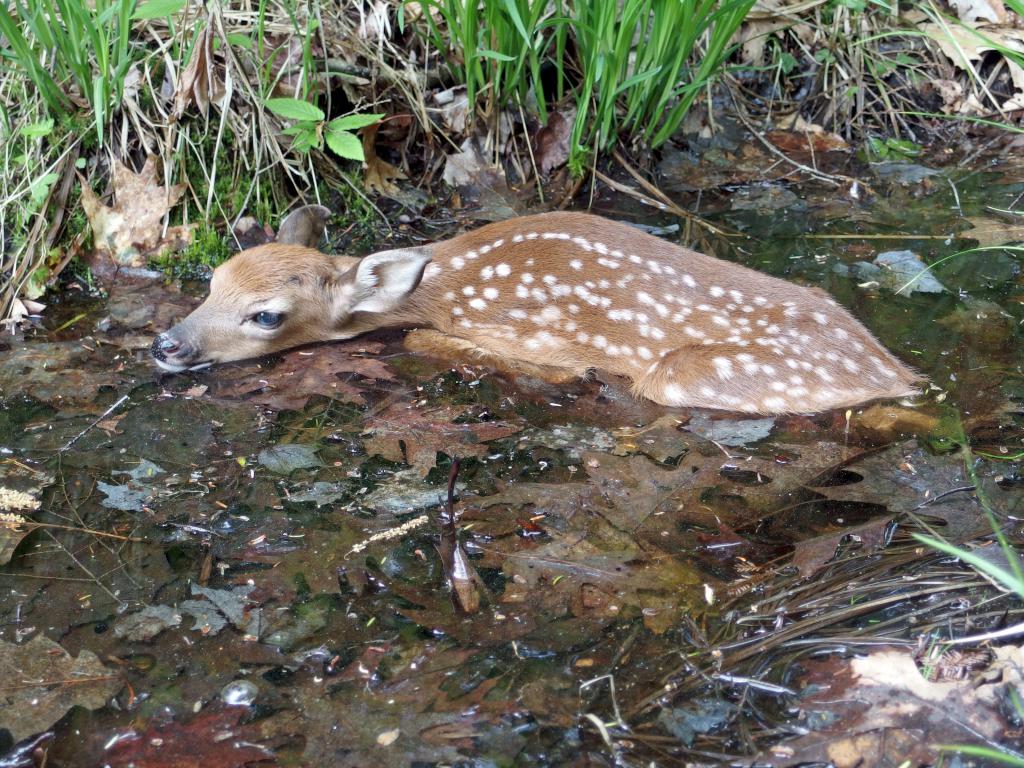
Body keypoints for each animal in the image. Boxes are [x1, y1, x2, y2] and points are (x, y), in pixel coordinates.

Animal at [149, 205, 921, 415]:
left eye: (267, 315)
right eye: (213, 280)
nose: (168, 345)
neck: (446, 284)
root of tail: (896, 369)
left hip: (685, 376)